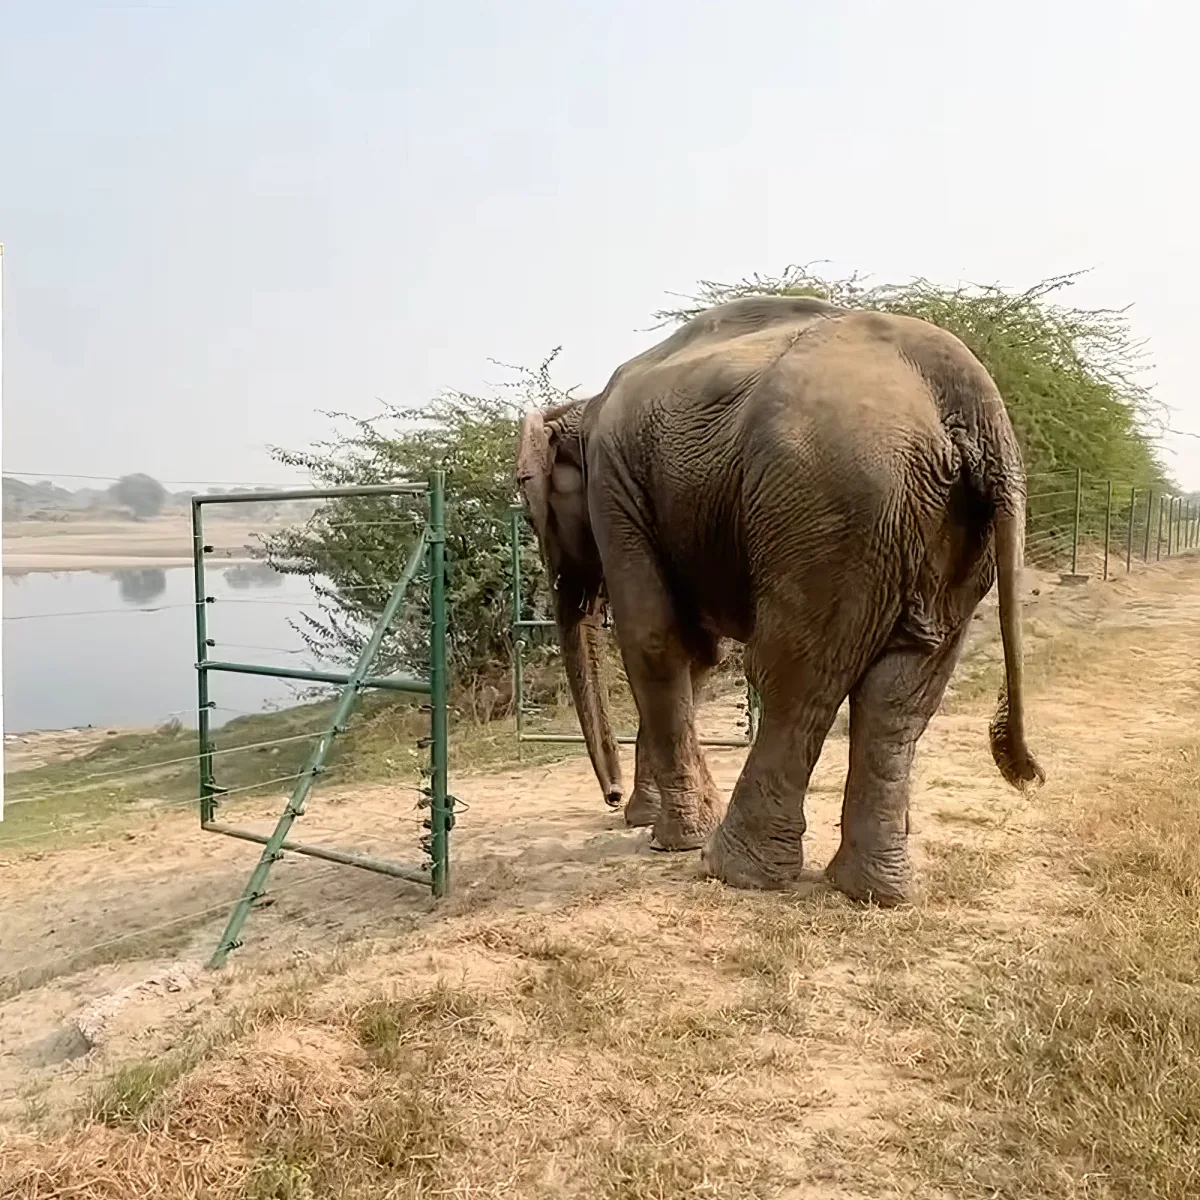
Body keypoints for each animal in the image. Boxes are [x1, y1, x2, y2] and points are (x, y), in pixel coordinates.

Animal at [515, 295, 1044, 906]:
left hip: (831, 505)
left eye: (530, 516)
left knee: (795, 673)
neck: (582, 408)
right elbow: (699, 655)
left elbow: (655, 640)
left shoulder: (615, 485)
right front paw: (645, 819)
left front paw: (669, 838)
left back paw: (731, 868)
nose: (611, 794)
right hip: (937, 526)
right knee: (905, 689)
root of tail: (970, 395)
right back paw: (872, 891)